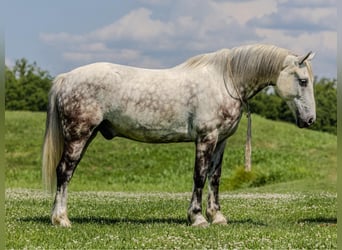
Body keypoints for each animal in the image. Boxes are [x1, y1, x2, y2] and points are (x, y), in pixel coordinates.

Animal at [42, 44, 316, 228]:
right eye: (303, 81)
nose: (310, 120)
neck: (225, 81)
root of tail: (65, 78)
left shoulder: (221, 141)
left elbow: (215, 178)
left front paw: (217, 216)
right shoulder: (206, 138)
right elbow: (199, 176)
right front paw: (197, 218)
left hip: (87, 136)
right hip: (79, 135)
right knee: (64, 172)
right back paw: (61, 219)